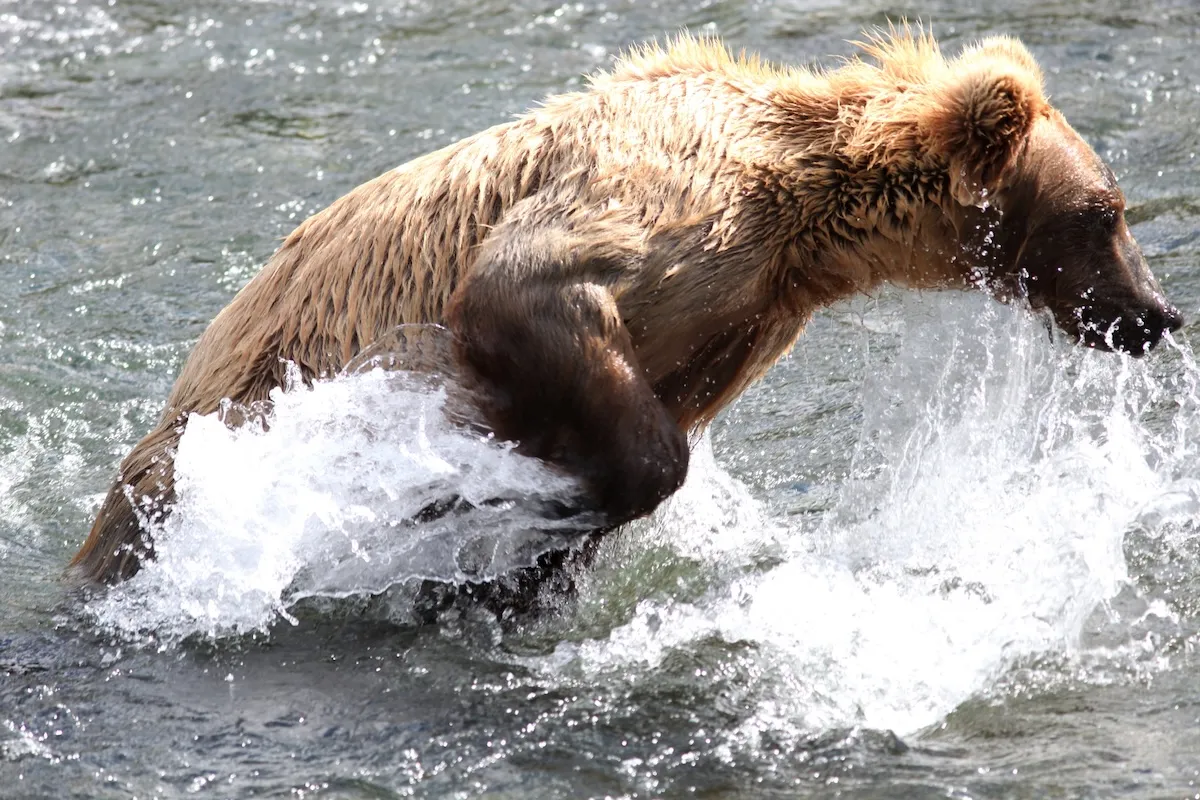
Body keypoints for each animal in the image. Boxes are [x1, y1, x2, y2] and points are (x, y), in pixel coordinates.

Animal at [70, 30, 1182, 605]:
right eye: (1107, 210)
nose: (1157, 312)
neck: (805, 219)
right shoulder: (666, 204)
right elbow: (531, 293)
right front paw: (514, 508)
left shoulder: (742, 321)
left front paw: (534, 561)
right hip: (199, 444)